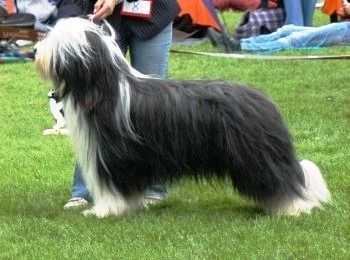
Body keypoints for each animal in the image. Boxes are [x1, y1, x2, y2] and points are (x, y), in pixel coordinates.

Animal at [33, 17, 330, 218]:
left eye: (53, 40)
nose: (35, 51)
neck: (103, 88)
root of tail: (264, 102)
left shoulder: (111, 156)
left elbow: (111, 188)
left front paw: (103, 210)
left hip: (256, 156)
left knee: (281, 182)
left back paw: (295, 208)